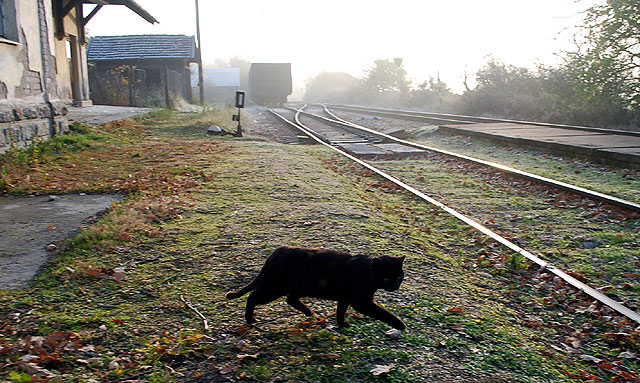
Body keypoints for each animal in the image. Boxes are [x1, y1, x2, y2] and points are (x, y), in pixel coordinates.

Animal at [226, 248, 404, 332]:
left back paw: (308, 312)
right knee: (252, 297)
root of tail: (274, 254)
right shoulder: (361, 302)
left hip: (299, 286)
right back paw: (250, 319)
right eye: (386, 278)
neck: (367, 272)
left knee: (290, 299)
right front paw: (400, 324)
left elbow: (340, 311)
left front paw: (341, 324)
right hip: (273, 288)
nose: (394, 286)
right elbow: (383, 313)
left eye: (398, 277)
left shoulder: (345, 298)